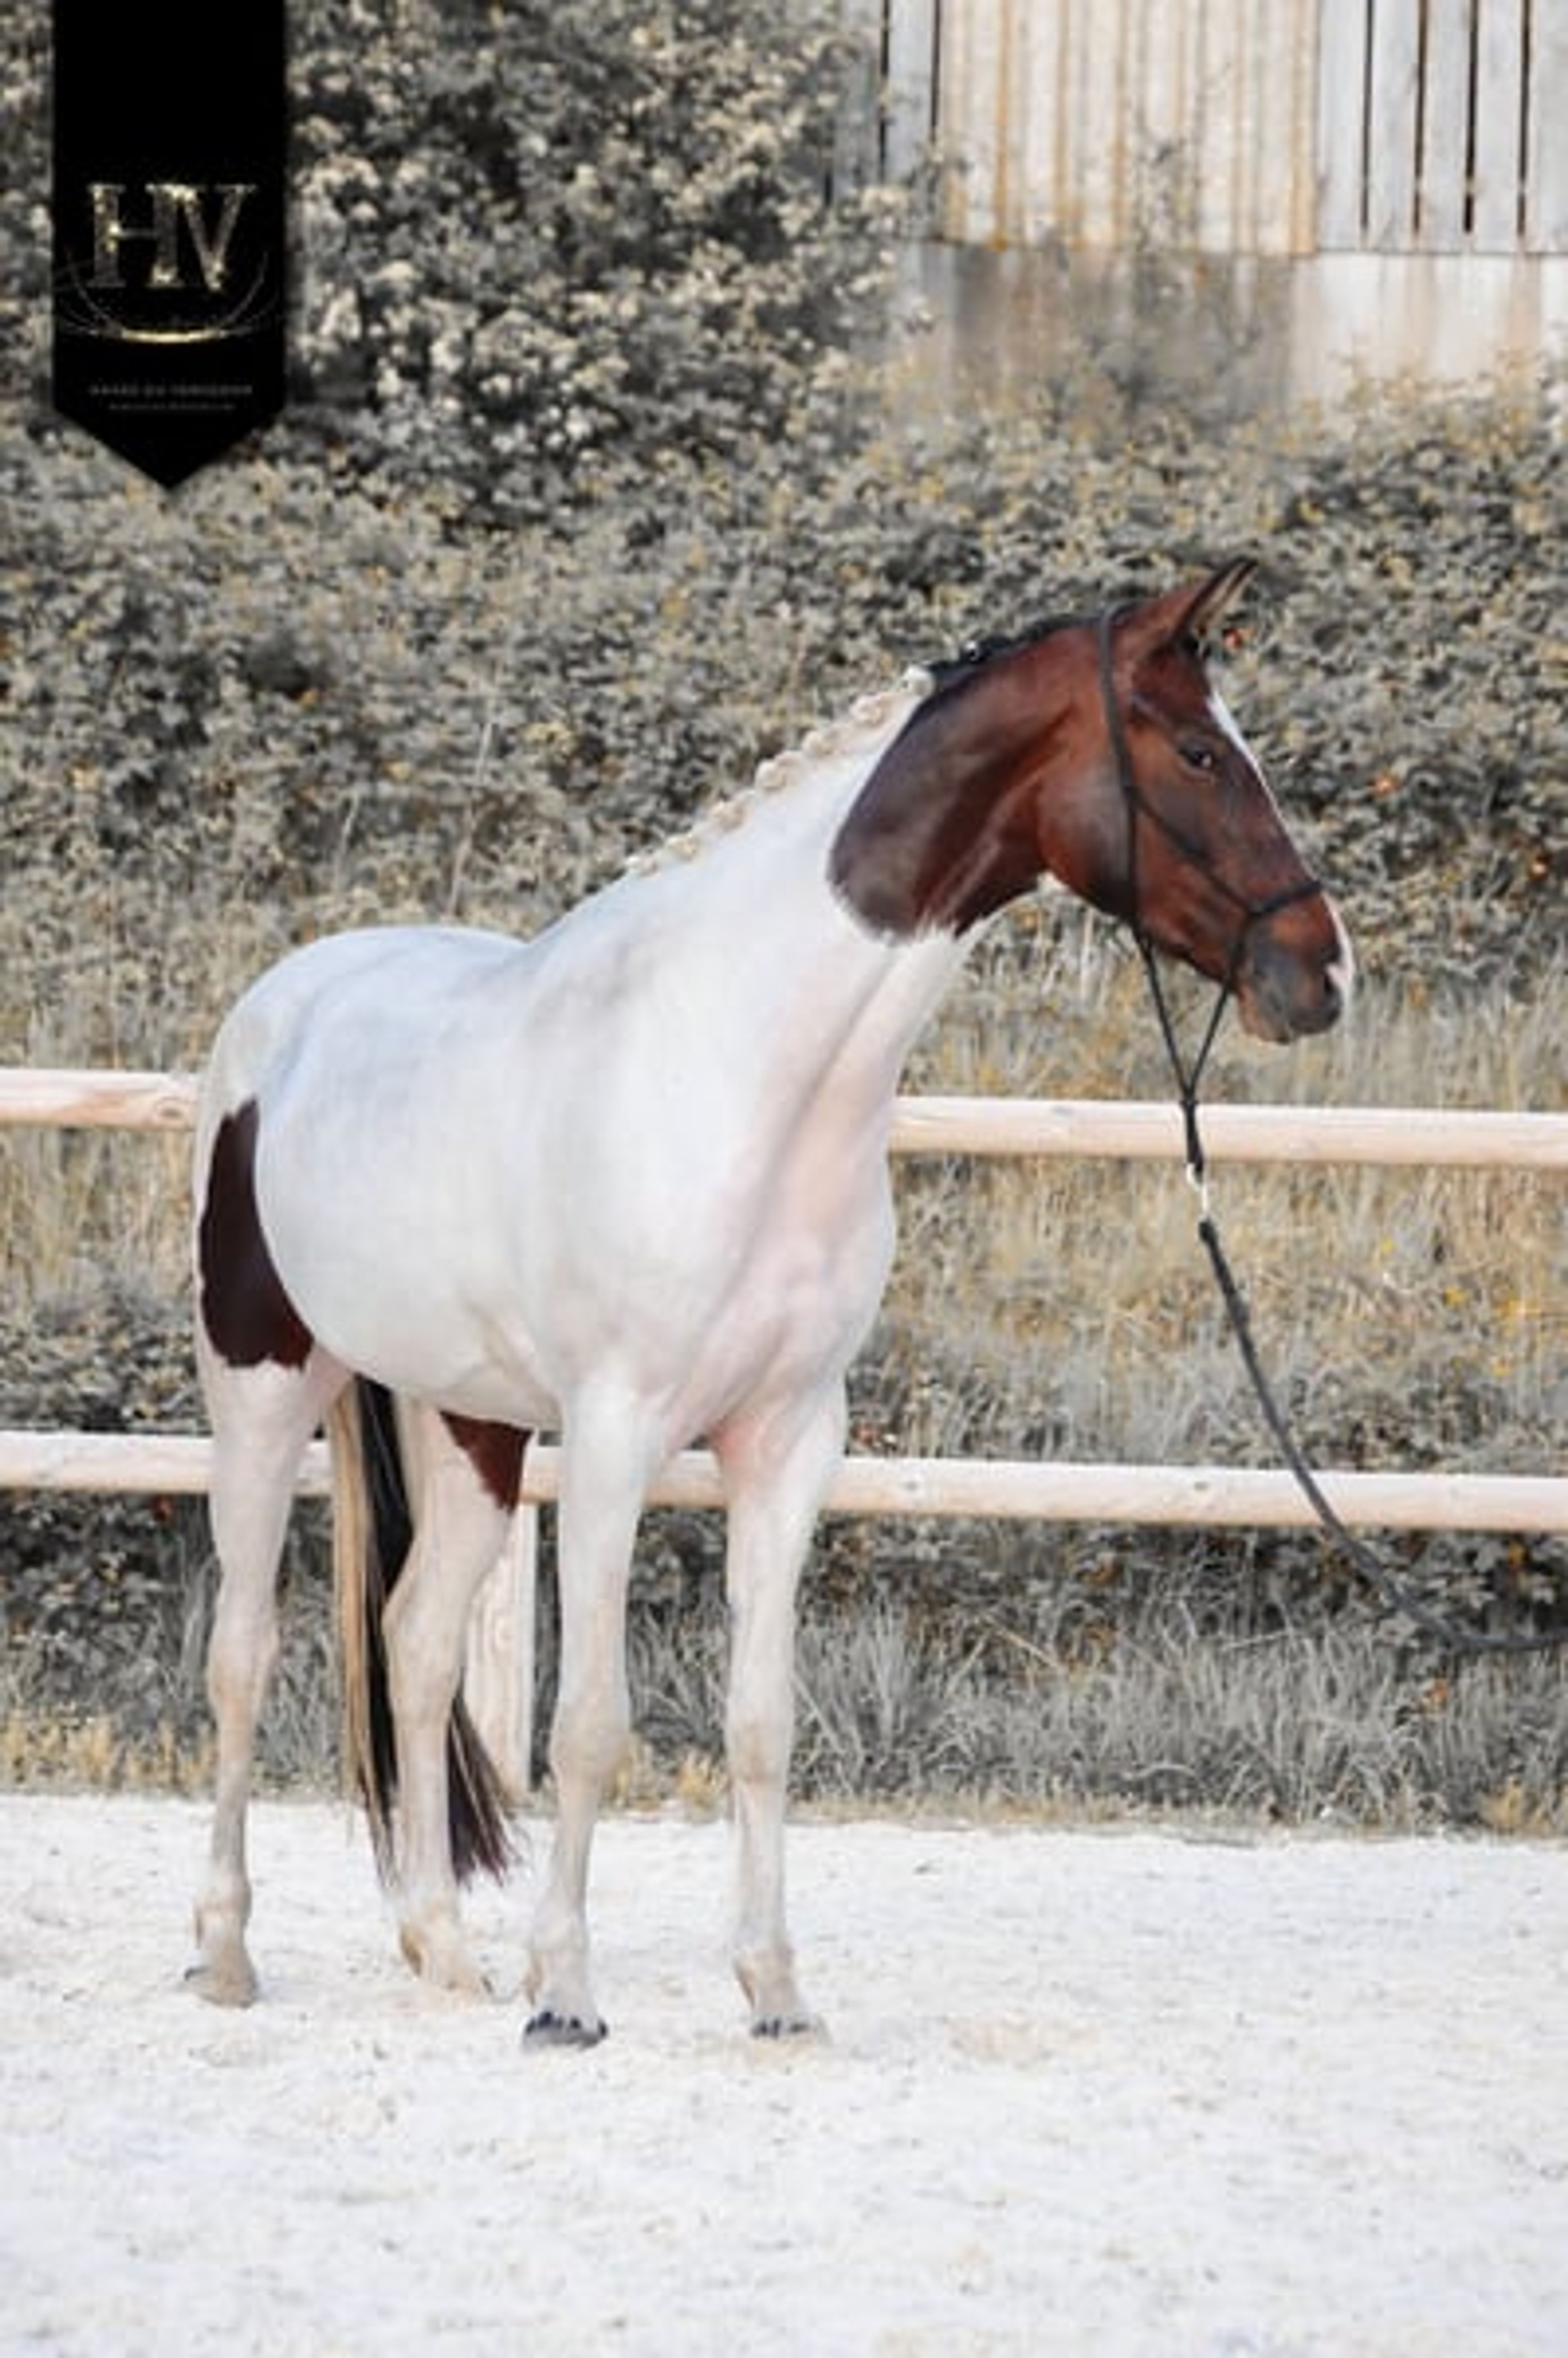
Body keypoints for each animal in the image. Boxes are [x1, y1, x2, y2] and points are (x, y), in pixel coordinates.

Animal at [189, 558, 1351, 2039]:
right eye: (1200, 753)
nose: (1322, 970)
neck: (741, 1067)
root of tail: (285, 1004)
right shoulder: (616, 1433)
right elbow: (591, 1722)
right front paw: (567, 1993)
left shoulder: (793, 1437)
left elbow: (760, 1721)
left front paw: (774, 1987)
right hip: (263, 1389)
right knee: (244, 1650)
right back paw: (227, 1951)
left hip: (472, 1424)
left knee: (417, 1643)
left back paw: (445, 1951)